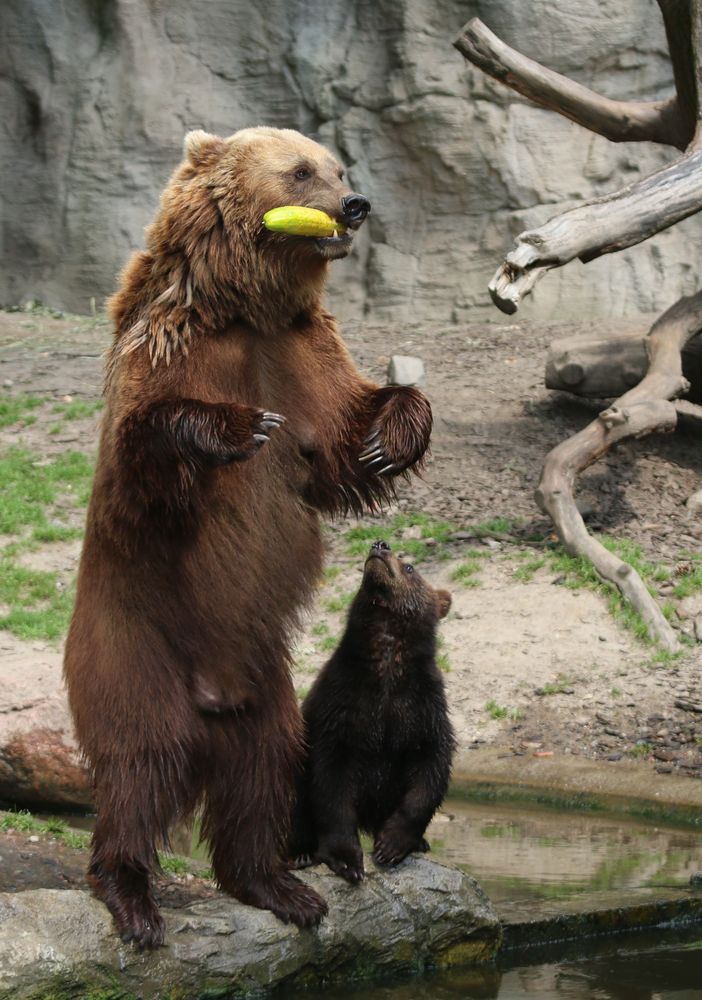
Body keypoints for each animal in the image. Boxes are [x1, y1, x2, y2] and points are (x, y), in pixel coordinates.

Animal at [63, 125, 434, 944]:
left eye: (338, 167)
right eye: (300, 171)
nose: (355, 203)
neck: (243, 307)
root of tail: (211, 698)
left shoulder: (304, 355)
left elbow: (341, 441)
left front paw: (391, 436)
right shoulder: (172, 347)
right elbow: (149, 450)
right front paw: (233, 430)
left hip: (269, 689)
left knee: (264, 772)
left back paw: (278, 885)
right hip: (134, 648)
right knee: (140, 767)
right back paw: (132, 897)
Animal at [288, 540, 454, 884]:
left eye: (410, 567)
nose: (380, 545)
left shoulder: (421, 708)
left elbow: (430, 767)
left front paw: (392, 844)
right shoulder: (340, 708)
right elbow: (331, 782)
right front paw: (348, 860)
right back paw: (300, 853)